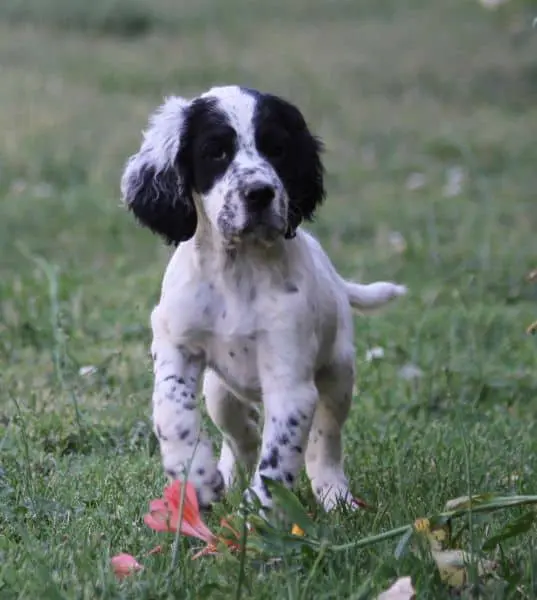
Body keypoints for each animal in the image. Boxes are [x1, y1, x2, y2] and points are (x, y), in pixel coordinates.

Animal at [120, 85, 406, 511]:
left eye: (277, 149)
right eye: (216, 152)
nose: (260, 194)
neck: (238, 271)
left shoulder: (290, 383)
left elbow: (278, 459)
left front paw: (257, 517)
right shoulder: (176, 344)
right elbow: (172, 409)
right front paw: (197, 478)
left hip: (338, 374)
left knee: (325, 440)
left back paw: (335, 495)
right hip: (219, 392)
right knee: (240, 434)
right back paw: (225, 473)